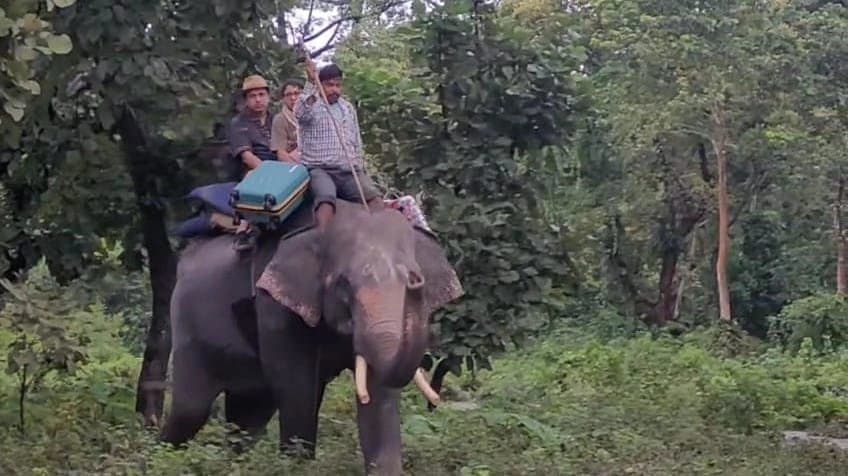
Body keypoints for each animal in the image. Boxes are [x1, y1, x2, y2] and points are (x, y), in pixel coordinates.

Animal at [160, 197, 464, 475]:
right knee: (191, 410)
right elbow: (296, 385)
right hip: (187, 323)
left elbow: (379, 394)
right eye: (343, 285)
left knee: (249, 414)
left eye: (415, 277)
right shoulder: (274, 305)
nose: (415, 283)